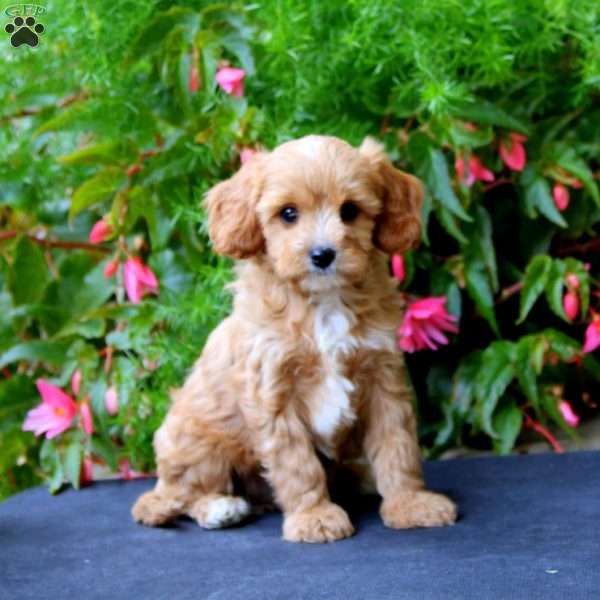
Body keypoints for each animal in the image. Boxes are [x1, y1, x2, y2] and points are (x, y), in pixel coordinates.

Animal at [134, 136, 458, 544]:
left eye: (350, 211)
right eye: (288, 214)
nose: (322, 254)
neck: (323, 302)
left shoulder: (383, 379)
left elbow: (397, 444)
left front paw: (410, 504)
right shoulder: (274, 392)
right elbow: (296, 462)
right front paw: (314, 517)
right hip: (196, 442)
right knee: (183, 495)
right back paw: (220, 508)